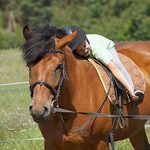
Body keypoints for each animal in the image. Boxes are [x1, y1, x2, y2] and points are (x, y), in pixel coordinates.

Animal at [21, 24, 149, 149]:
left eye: (58, 66)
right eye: (29, 66)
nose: (38, 110)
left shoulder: (101, 143)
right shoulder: (50, 144)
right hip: (136, 129)